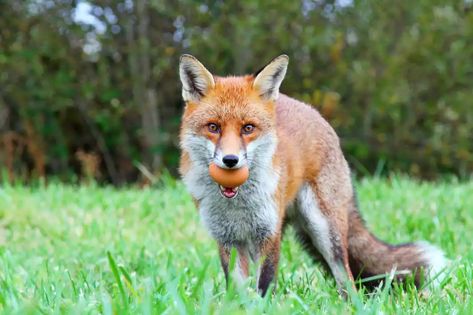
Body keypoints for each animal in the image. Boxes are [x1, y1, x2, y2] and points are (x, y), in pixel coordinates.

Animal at [177, 55, 446, 298]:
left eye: (248, 128)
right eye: (213, 127)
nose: (230, 160)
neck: (237, 205)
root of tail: (313, 112)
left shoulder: (269, 234)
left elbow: (264, 285)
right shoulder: (228, 239)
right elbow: (238, 289)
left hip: (325, 230)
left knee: (347, 278)